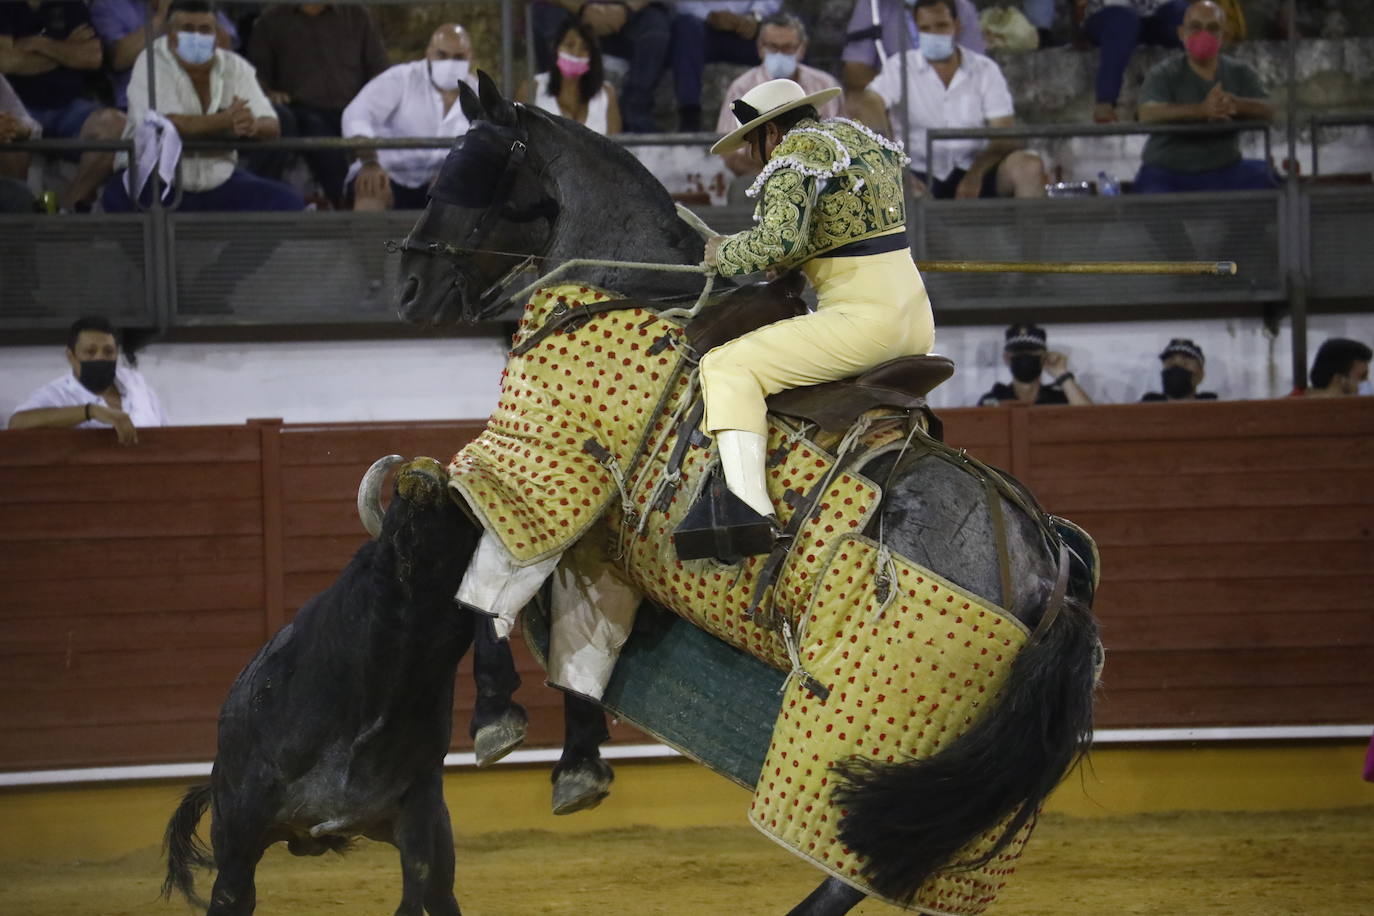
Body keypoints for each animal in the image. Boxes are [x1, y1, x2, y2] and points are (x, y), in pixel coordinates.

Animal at [392, 73, 1099, 916]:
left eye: (472, 168)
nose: (409, 289)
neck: (633, 287)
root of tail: (1047, 567)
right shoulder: (599, 535)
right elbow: (564, 622)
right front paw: (578, 766)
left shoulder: (549, 465)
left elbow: (485, 566)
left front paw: (498, 720)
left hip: (880, 719)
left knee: (847, 860)